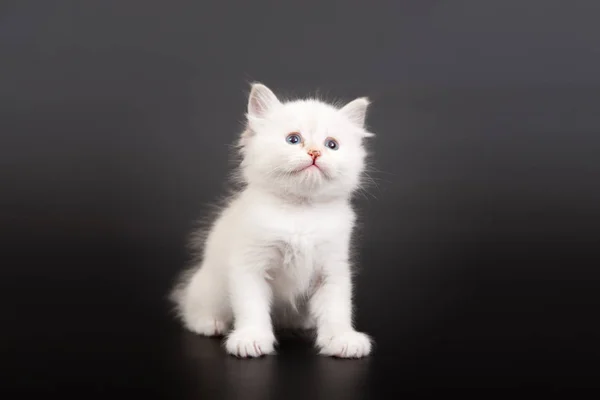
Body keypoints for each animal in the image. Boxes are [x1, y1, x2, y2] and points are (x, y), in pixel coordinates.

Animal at [170, 83, 376, 358]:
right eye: (293, 139)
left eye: (332, 144)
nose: (315, 152)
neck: (301, 211)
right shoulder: (249, 265)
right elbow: (251, 306)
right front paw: (251, 339)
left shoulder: (332, 268)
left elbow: (337, 308)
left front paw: (342, 339)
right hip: (209, 286)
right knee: (192, 308)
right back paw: (209, 323)